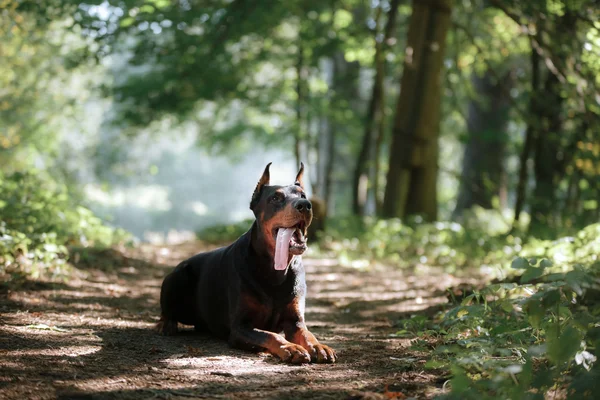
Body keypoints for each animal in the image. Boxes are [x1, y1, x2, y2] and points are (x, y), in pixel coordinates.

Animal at [157, 164, 338, 364]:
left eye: (303, 195)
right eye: (275, 198)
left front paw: (318, 346)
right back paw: (165, 324)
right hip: (178, 276)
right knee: (167, 310)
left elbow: (306, 333)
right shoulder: (239, 327)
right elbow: (271, 335)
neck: (274, 269)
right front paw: (290, 347)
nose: (305, 205)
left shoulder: (295, 320)